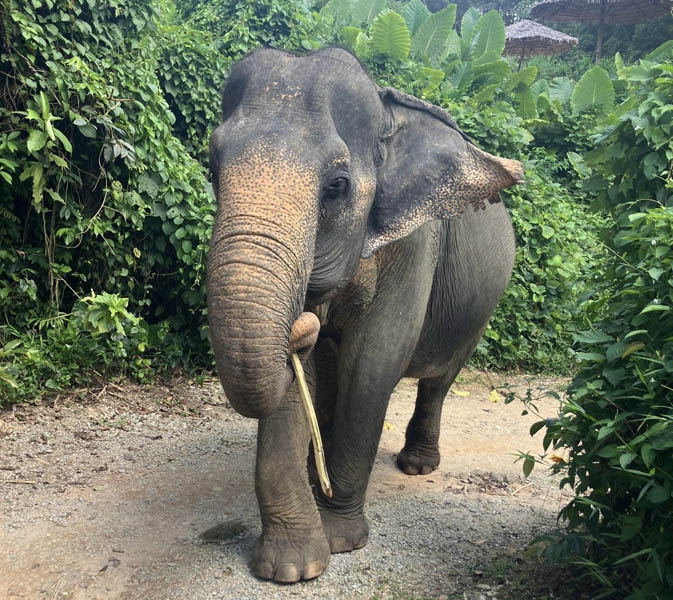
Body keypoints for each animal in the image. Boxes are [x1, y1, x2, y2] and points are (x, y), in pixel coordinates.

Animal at [207, 47, 523, 584]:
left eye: (337, 186)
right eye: (212, 169)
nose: (303, 324)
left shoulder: (415, 246)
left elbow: (372, 365)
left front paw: (339, 542)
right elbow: (304, 381)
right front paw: (293, 568)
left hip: (482, 303)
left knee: (439, 379)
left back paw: (415, 466)